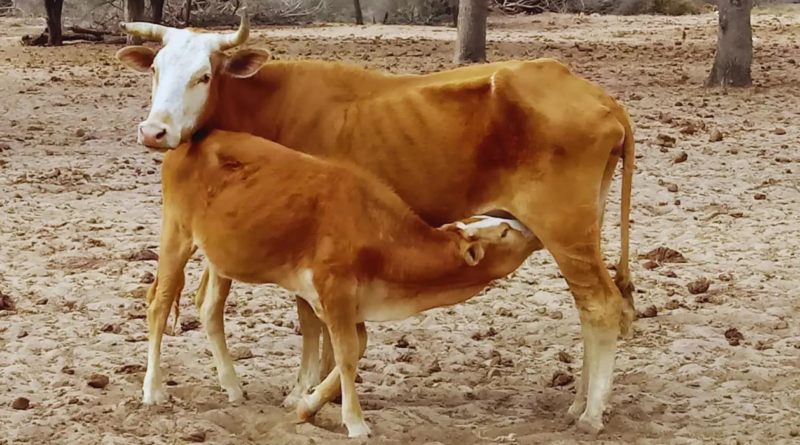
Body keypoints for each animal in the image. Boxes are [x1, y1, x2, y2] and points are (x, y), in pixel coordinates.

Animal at [114, 14, 636, 434]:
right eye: (156, 70)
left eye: (203, 76)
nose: (154, 132)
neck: (269, 101)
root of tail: (603, 100)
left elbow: (313, 323)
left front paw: (307, 393)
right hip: (580, 231)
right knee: (590, 309)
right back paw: (578, 403)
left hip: (564, 231)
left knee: (602, 307)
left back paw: (591, 414)